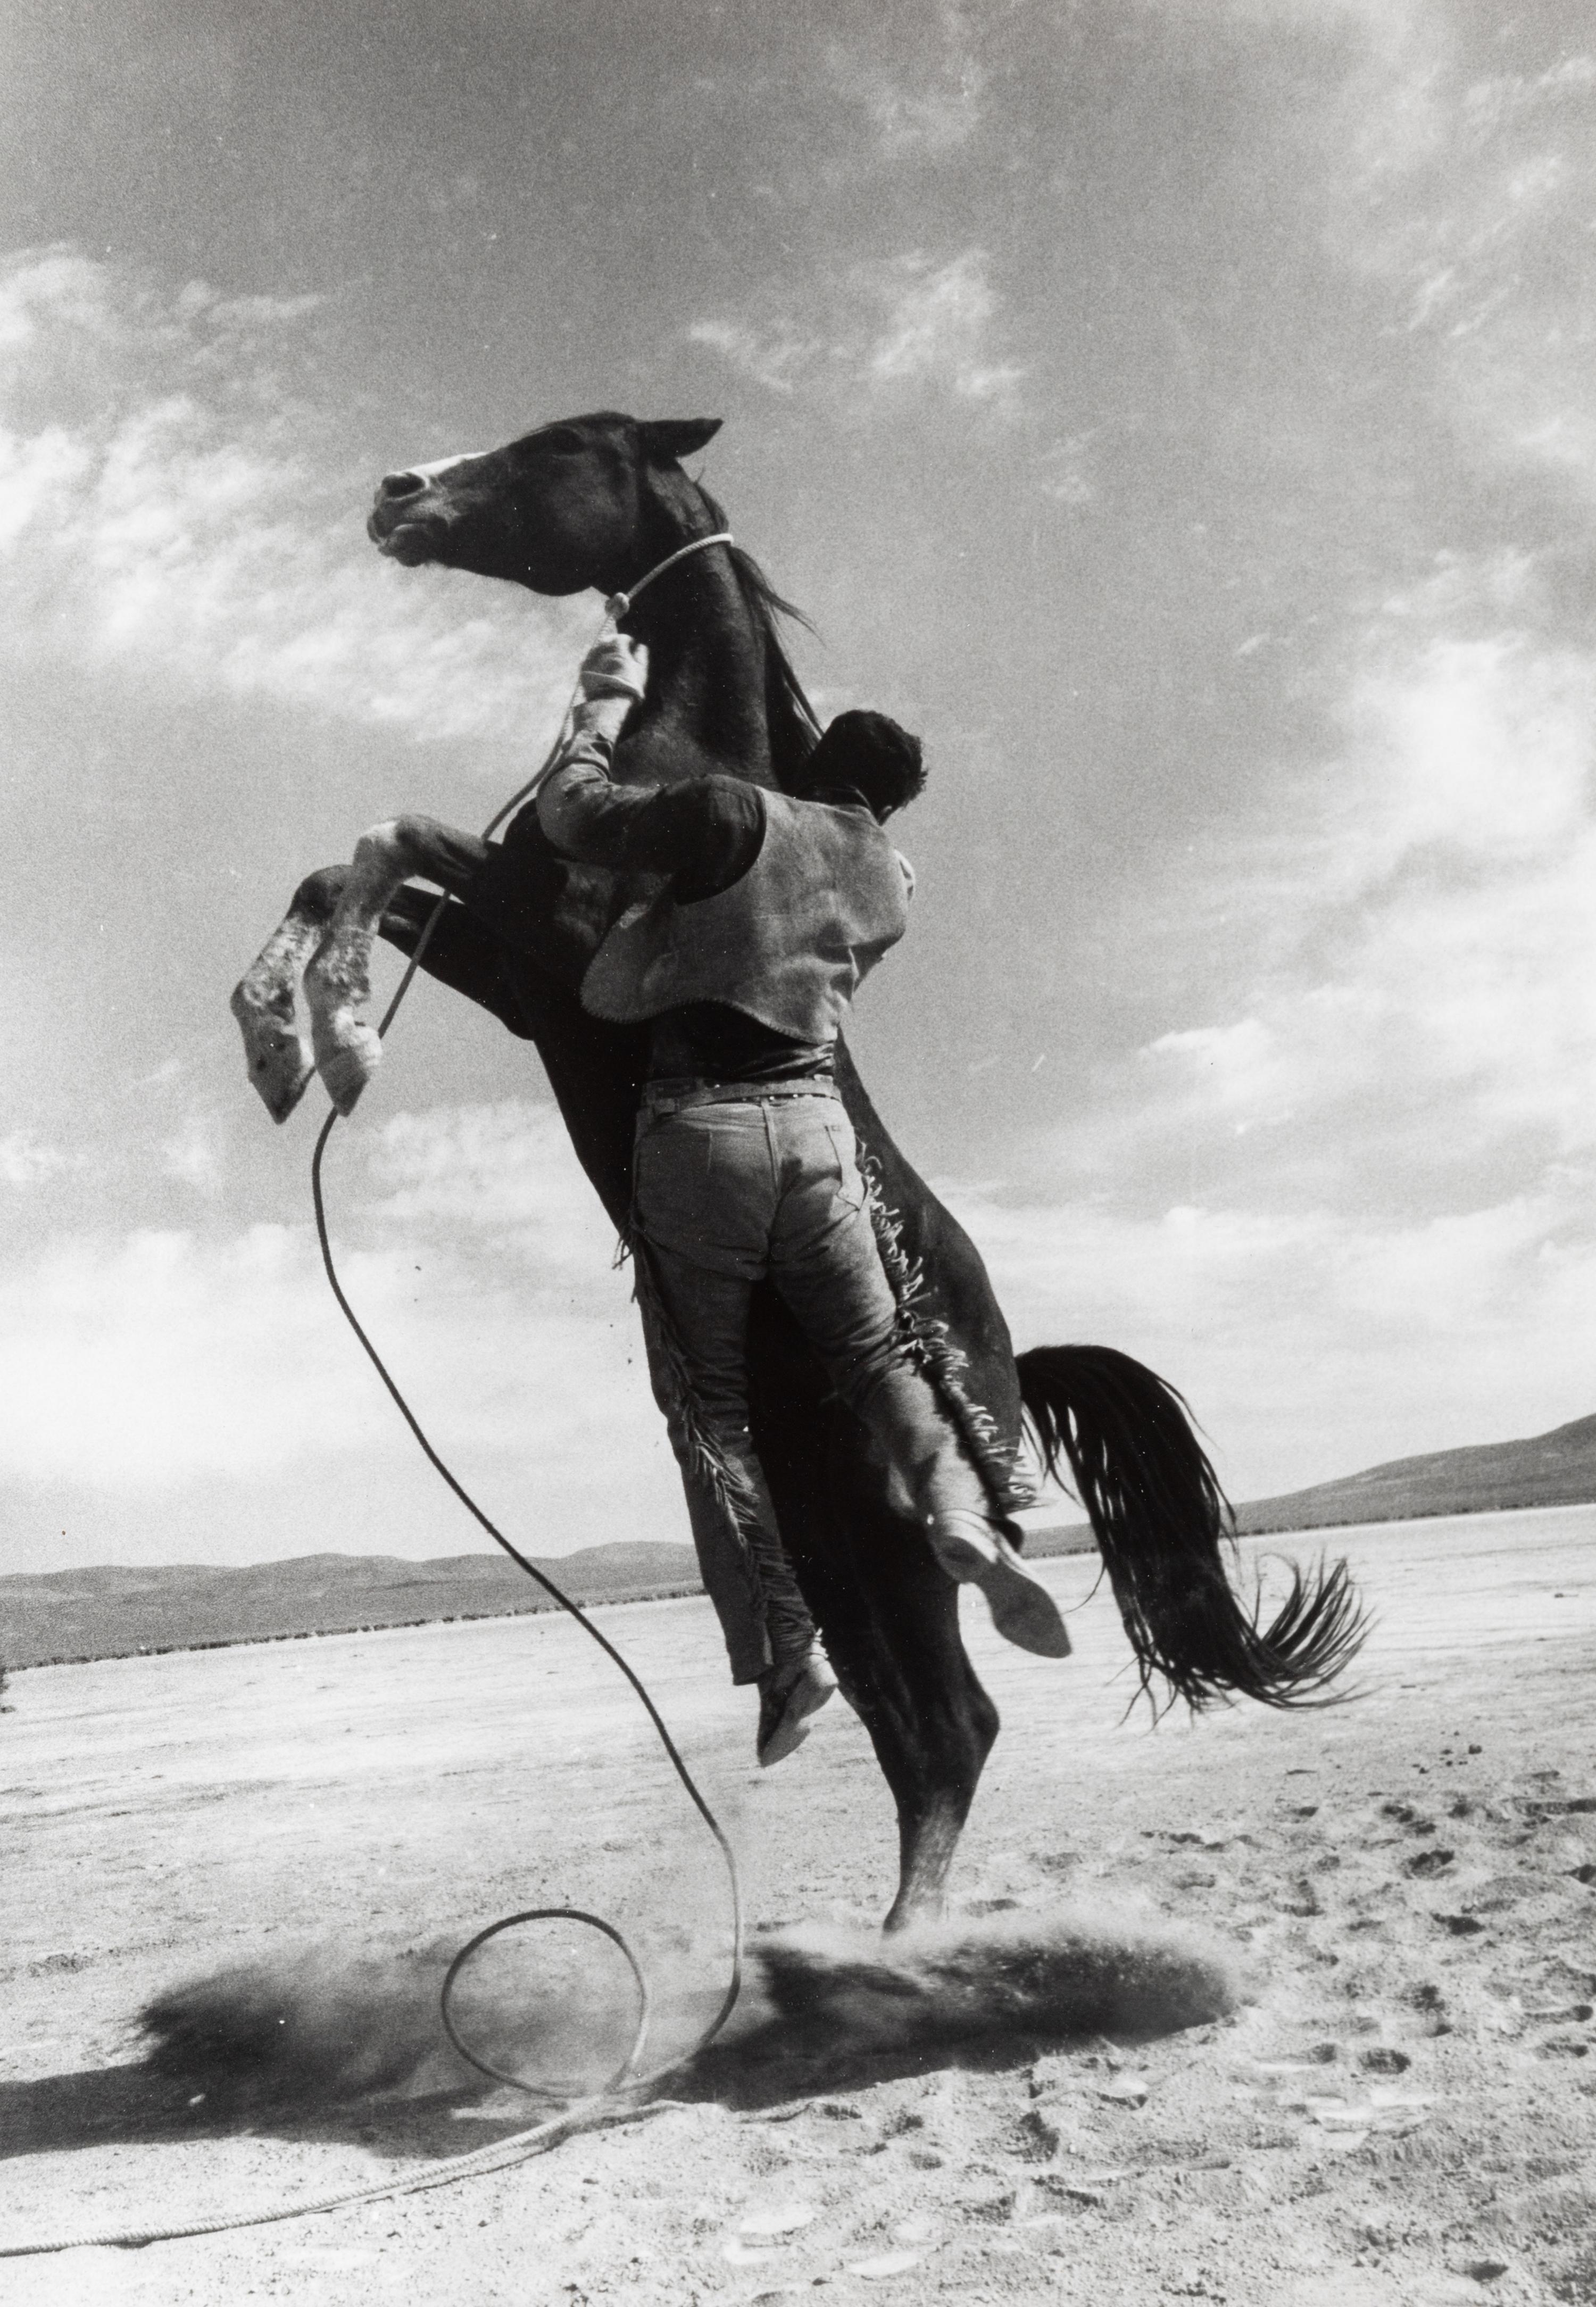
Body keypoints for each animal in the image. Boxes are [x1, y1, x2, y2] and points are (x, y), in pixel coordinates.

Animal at [232, 410, 1365, 1932]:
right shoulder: (514, 968)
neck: (699, 755)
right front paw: (283, 1035)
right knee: (927, 1729)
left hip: (879, 1545)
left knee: (952, 1727)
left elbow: (391, 834)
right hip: (834, 1539)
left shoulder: (550, 946)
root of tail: (1010, 1363)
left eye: (562, 443)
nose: (395, 494)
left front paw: (331, 1041)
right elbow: (342, 864)